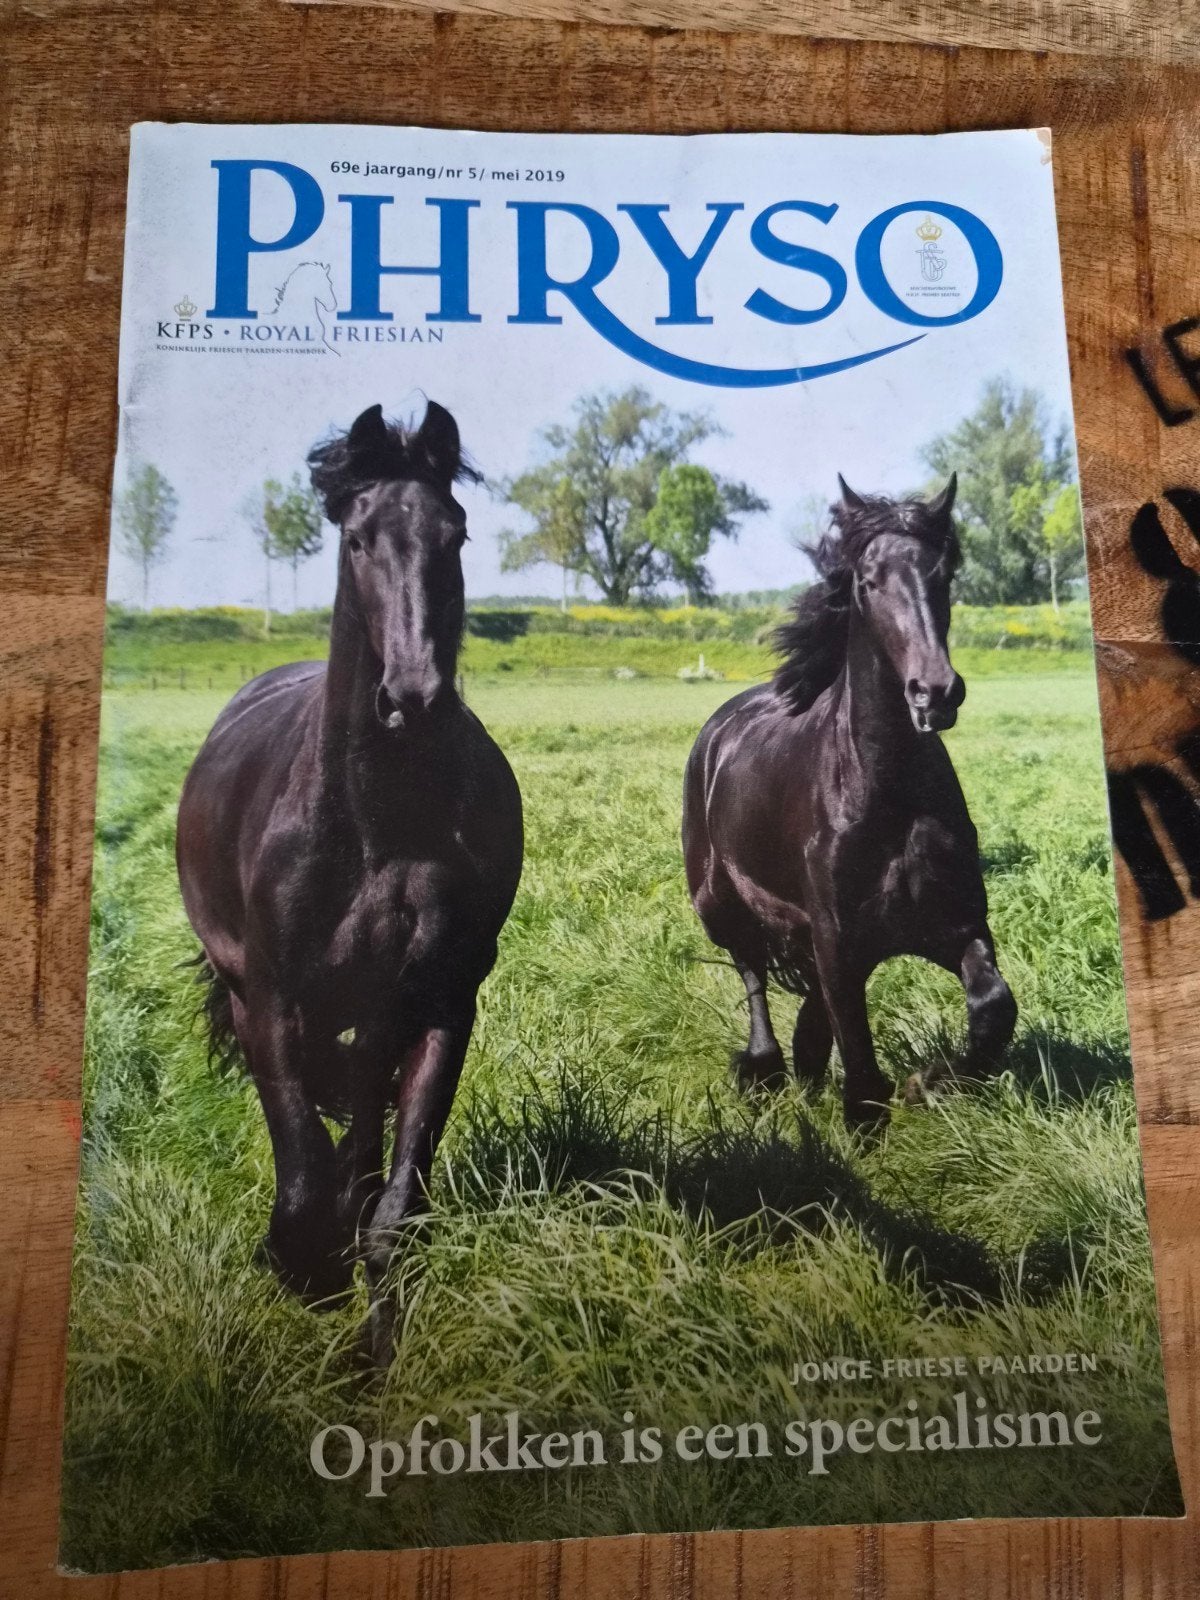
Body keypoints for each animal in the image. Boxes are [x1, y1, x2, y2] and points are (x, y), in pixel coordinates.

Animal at [176, 400, 523, 1363]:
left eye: (455, 531)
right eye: (358, 539)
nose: (413, 697)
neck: (378, 822)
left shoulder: (441, 1002)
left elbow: (391, 1211)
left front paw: (372, 1360)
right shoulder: (271, 1004)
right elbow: (302, 1195)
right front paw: (307, 1277)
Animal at [682, 475, 1016, 1128]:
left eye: (943, 574)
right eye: (868, 580)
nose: (935, 692)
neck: (886, 797)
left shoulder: (955, 924)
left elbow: (993, 1008)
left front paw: (925, 1082)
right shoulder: (840, 943)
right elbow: (860, 1068)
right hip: (717, 901)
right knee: (751, 968)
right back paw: (763, 1068)